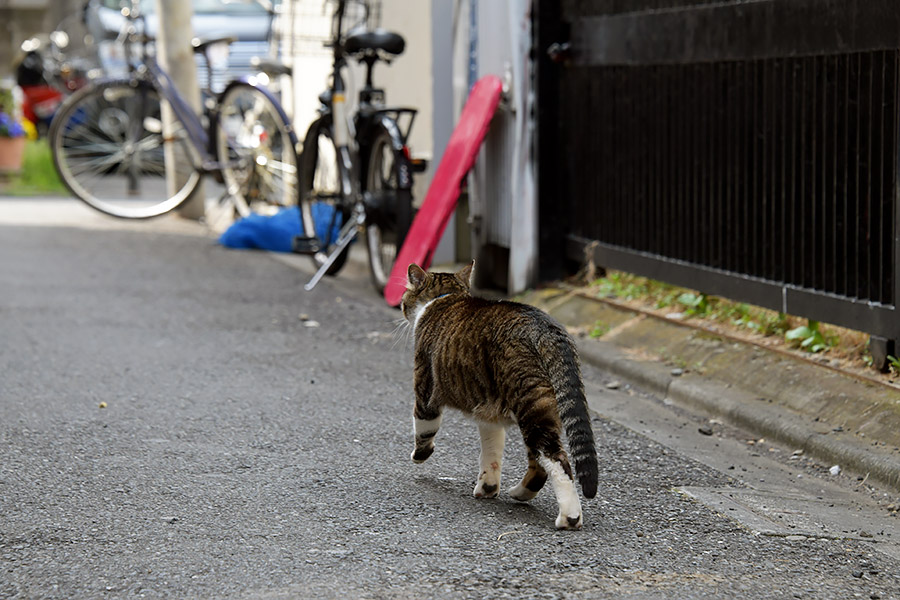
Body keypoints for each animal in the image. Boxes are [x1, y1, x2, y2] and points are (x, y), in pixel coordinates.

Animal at [400, 262, 596, 528]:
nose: (401, 307)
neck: (446, 297)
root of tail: (545, 329)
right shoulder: (487, 409)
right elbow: (491, 450)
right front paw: (488, 487)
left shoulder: (425, 387)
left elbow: (423, 428)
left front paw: (419, 455)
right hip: (541, 407)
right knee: (538, 463)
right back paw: (520, 493)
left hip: (530, 404)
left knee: (557, 459)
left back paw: (570, 517)